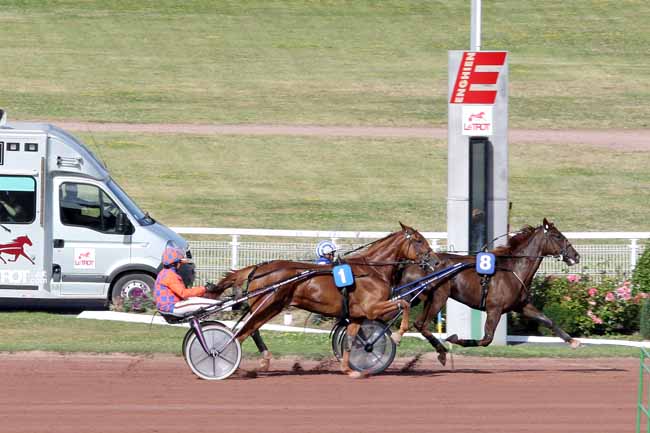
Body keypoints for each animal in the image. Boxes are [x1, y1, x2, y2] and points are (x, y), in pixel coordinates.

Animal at [215, 223, 432, 374]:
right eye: (419, 240)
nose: (434, 260)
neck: (371, 270)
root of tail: (257, 268)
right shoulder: (372, 308)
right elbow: (404, 304)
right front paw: (397, 335)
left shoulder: (357, 314)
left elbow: (351, 338)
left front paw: (350, 367)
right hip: (269, 305)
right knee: (244, 332)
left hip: (266, 307)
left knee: (251, 330)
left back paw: (259, 359)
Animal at [394, 216, 576, 364]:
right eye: (558, 236)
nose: (576, 256)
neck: (513, 269)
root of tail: (413, 263)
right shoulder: (494, 309)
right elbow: (486, 339)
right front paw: (454, 338)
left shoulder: (521, 305)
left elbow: (548, 320)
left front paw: (573, 341)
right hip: (438, 297)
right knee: (422, 324)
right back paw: (440, 351)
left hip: (424, 298)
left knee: (417, 322)